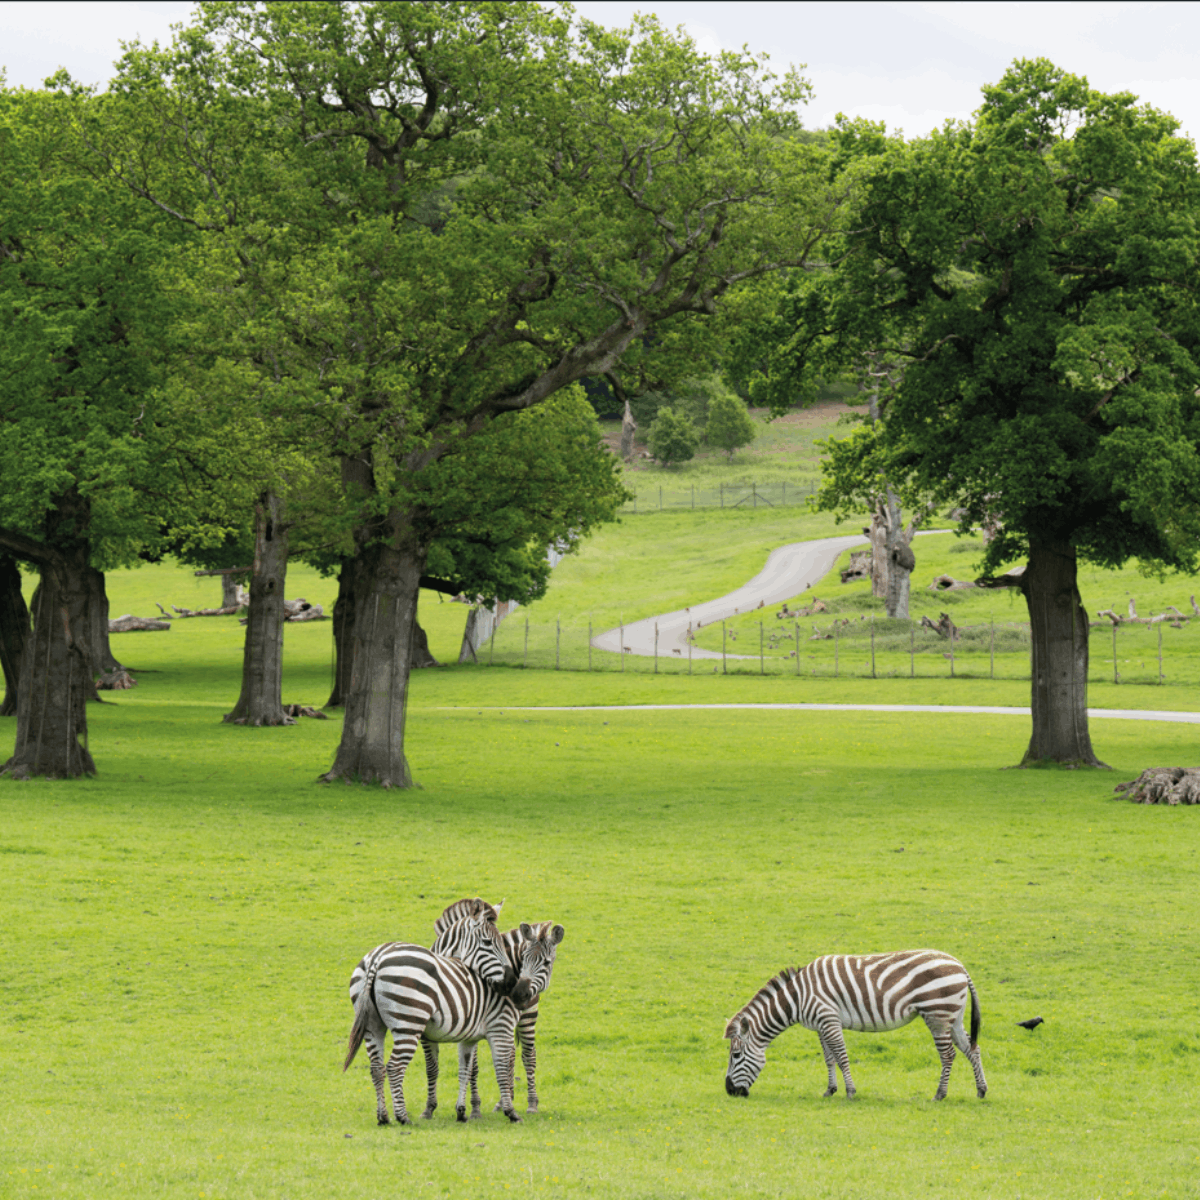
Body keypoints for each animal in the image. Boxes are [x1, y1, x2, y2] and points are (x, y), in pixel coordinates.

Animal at [343, 900, 521, 1126]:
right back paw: (402, 1116)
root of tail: (377, 957)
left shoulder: (434, 1033)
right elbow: (447, 1068)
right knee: (394, 1067)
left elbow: (443, 1068)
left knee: (376, 1068)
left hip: (371, 1025)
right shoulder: (432, 1032)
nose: (511, 983)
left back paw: (383, 1117)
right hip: (408, 1024)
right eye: (488, 942)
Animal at [431, 899, 564, 1117]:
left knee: (528, 1054)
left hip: (528, 1015)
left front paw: (474, 1107)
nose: (514, 988)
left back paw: (531, 1103)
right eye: (487, 943)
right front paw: (475, 1106)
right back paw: (504, 1101)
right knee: (510, 1055)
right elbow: (473, 1065)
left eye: (546, 962)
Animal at [724, 949, 987, 1102]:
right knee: (971, 1048)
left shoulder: (829, 1019)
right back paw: (981, 1090)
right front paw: (830, 1090)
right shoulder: (821, 1024)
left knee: (949, 1054)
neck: (797, 997)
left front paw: (850, 1092)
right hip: (954, 1014)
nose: (729, 1091)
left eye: (736, 1055)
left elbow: (841, 1056)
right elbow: (829, 1058)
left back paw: (940, 1094)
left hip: (937, 1014)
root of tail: (959, 965)